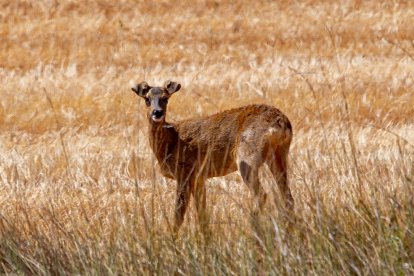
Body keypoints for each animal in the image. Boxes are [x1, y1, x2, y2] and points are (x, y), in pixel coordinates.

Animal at [131, 80, 292, 235]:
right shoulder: (199, 178)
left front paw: (171, 238)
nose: (157, 112)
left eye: (165, 98)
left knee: (261, 194)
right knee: (287, 196)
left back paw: (253, 229)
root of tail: (280, 121)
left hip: (247, 156)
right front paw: (206, 239)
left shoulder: (184, 172)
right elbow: (202, 215)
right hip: (279, 154)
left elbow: (179, 214)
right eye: (147, 99)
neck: (171, 141)